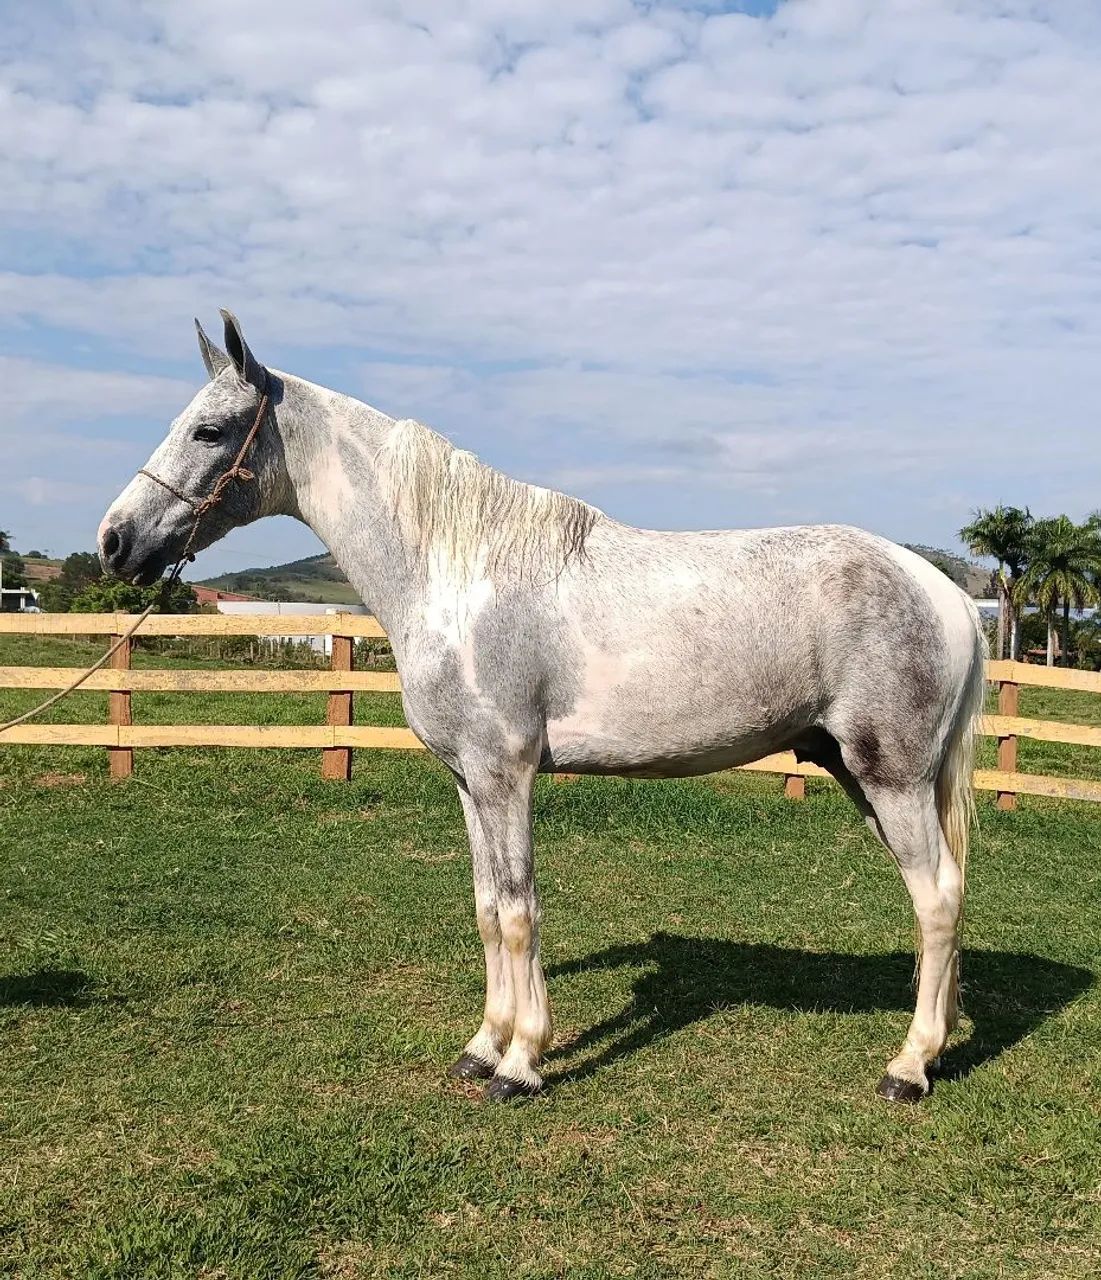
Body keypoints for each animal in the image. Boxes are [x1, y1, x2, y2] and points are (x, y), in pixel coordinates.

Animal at [99, 311, 987, 1104]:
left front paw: (522, 1063)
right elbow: (489, 910)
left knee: (937, 897)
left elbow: (523, 912)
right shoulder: (467, 781)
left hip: (892, 779)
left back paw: (908, 1066)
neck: (457, 572)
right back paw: (936, 1045)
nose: (114, 541)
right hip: (857, 775)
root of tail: (945, 593)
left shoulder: (506, 775)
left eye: (210, 431)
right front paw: (481, 1047)